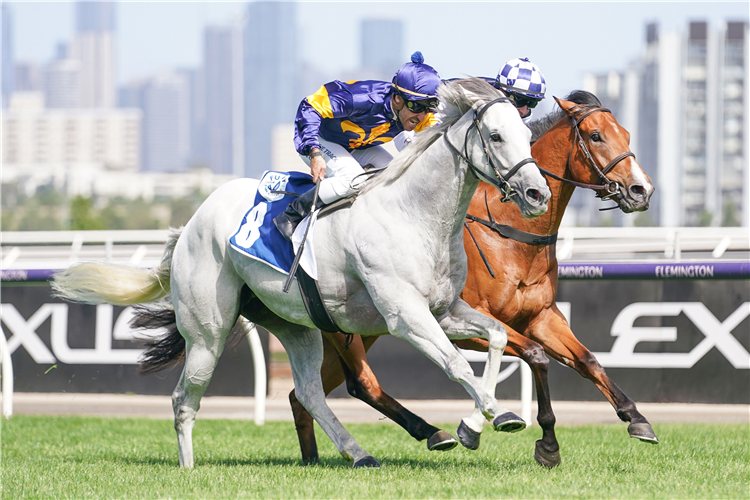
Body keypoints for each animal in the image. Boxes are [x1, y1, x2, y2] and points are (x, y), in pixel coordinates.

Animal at [51, 79, 552, 468]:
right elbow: (455, 362)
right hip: (208, 332)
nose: (537, 194)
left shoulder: (445, 310)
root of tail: (190, 223)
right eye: (495, 135)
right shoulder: (405, 316)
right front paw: (493, 415)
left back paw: (359, 453)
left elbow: (498, 338)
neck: (414, 214)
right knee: (183, 398)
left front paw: (477, 424)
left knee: (308, 392)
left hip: (295, 324)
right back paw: (188, 468)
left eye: (525, 134)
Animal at [288, 91, 656, 468]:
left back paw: (314, 455)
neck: (509, 233)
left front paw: (636, 418)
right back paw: (425, 434)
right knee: (359, 384)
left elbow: (587, 360)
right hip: (340, 327)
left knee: (302, 394)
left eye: (626, 135)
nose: (641, 190)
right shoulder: (469, 322)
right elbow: (534, 356)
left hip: (352, 329)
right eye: (596, 136)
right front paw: (531, 438)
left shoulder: (541, 317)